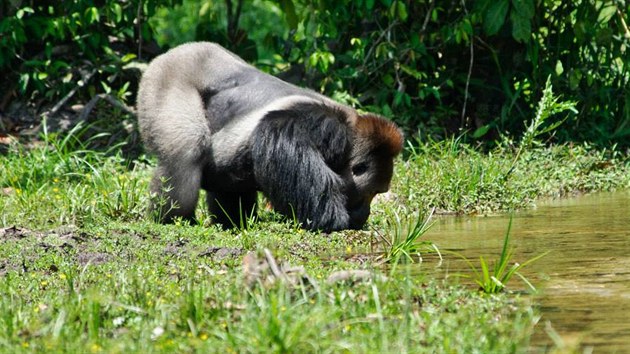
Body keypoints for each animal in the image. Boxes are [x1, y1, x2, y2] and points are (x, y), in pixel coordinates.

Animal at [138, 42, 404, 232]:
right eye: (372, 192)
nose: (364, 215)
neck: (351, 135)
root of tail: (172, 52)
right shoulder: (325, 127)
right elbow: (279, 137)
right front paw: (330, 219)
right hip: (167, 76)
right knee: (187, 150)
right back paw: (173, 218)